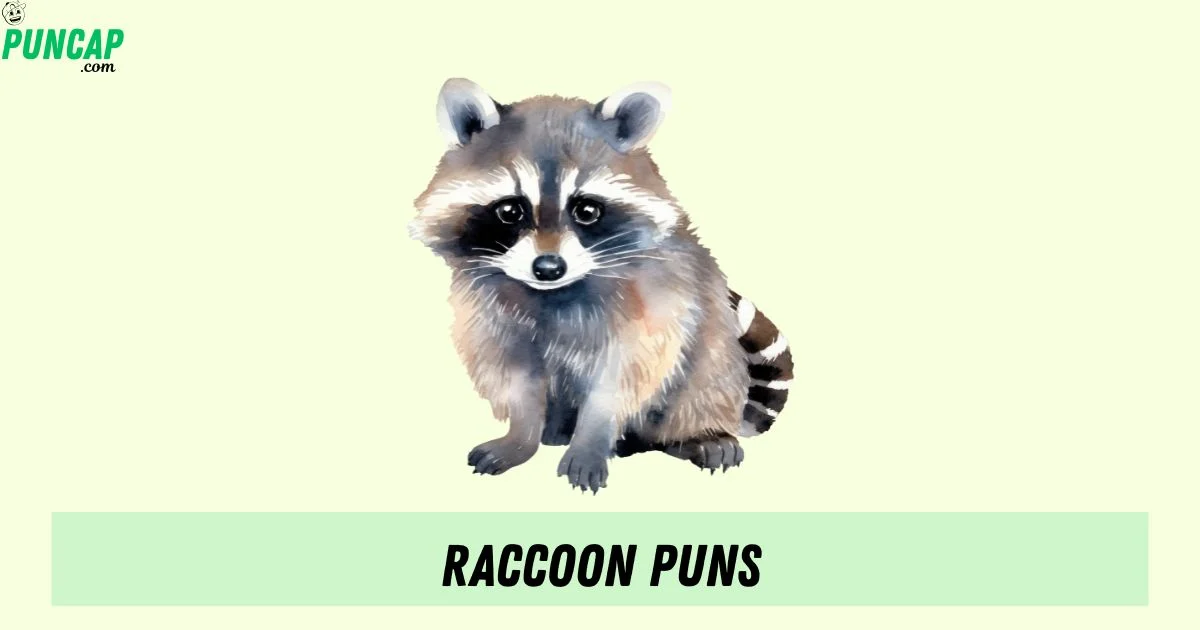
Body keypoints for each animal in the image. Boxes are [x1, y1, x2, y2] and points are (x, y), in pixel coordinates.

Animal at [409, 79, 793, 493]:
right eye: (510, 211)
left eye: (587, 211)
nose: (548, 268)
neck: (554, 294)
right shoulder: (489, 313)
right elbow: (515, 377)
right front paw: (521, 438)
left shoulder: (654, 301)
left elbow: (622, 378)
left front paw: (590, 443)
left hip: (713, 351)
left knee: (705, 376)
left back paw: (699, 435)